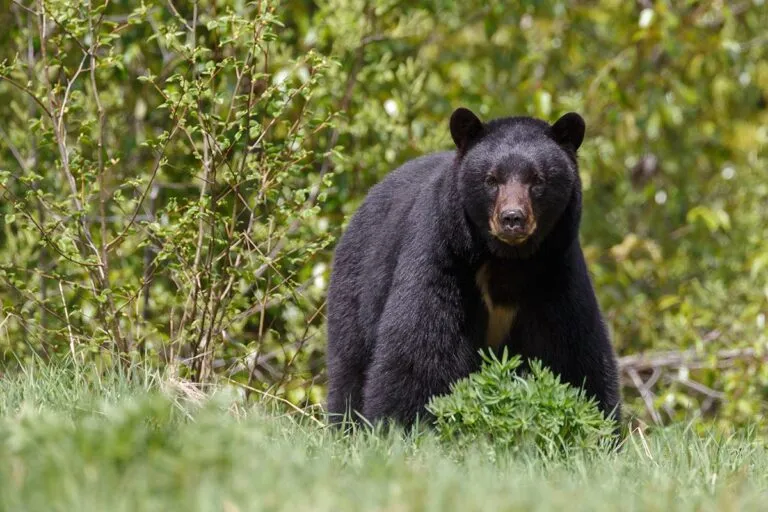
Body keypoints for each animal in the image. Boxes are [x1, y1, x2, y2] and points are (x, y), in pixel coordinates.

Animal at [325, 107, 621, 428]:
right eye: (491, 179)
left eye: (537, 179)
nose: (512, 218)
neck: (507, 260)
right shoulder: (443, 256)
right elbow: (421, 347)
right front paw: (401, 424)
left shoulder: (555, 271)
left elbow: (572, 351)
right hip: (357, 285)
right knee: (350, 364)